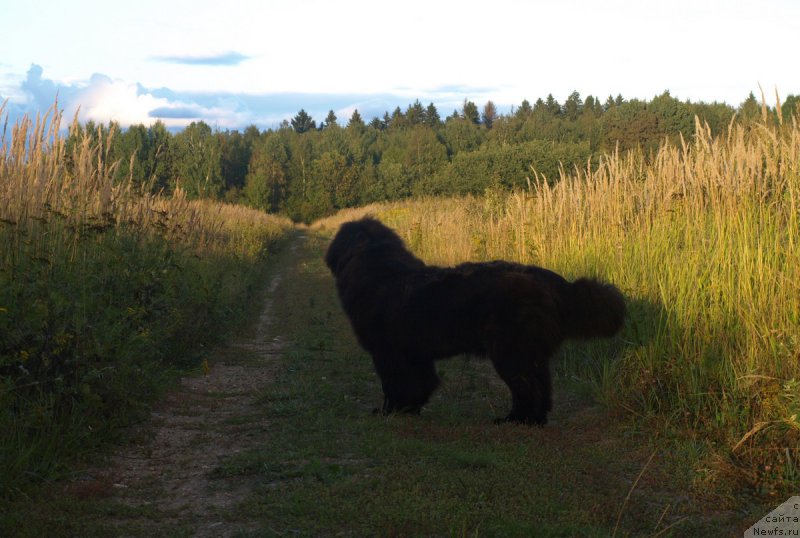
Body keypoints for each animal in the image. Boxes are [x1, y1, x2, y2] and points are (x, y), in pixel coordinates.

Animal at [324, 217, 624, 422]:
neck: (377, 269)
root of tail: (555, 283)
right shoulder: (417, 352)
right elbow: (422, 382)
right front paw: (411, 409)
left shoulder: (387, 352)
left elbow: (394, 384)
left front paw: (390, 411)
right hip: (530, 354)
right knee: (541, 387)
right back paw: (534, 420)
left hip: (511, 353)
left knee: (528, 388)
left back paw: (515, 420)